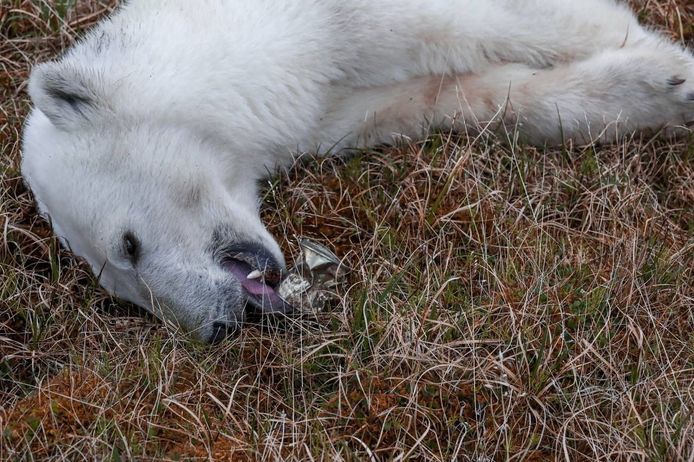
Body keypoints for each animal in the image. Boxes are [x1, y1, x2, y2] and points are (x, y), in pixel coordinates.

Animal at [21, 0, 694, 340]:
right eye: (125, 294)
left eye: (127, 245)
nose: (216, 327)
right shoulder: (332, 105)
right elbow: (458, 94)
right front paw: (654, 91)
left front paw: (668, 67)